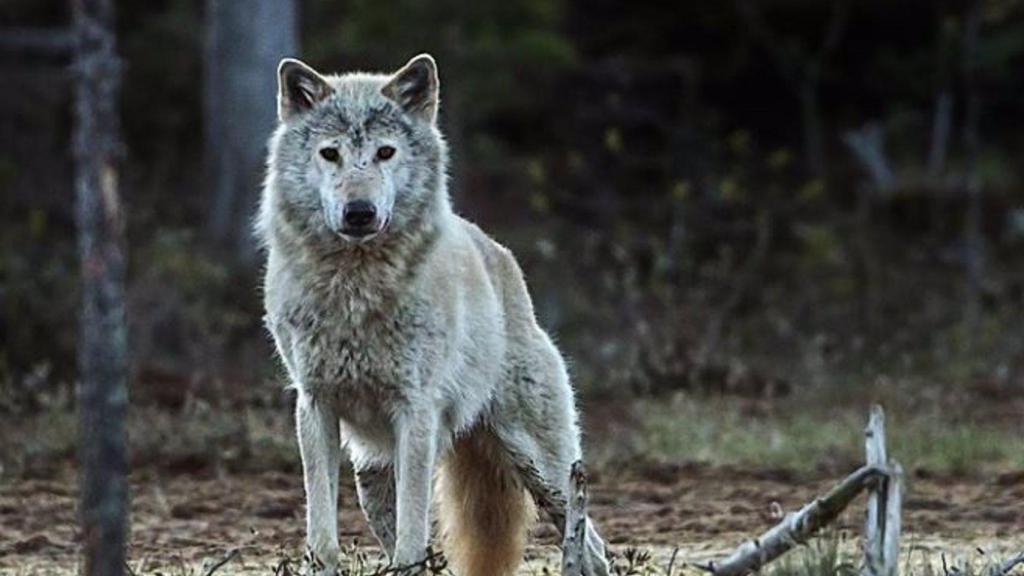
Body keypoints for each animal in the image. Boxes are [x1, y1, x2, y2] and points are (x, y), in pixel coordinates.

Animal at [257, 54, 610, 576]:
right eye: (330, 154)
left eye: (385, 152)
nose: (359, 211)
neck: (355, 291)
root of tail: (501, 256)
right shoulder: (314, 407)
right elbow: (321, 532)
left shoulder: (415, 412)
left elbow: (413, 534)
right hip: (372, 478)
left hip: (542, 467)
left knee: (592, 546)